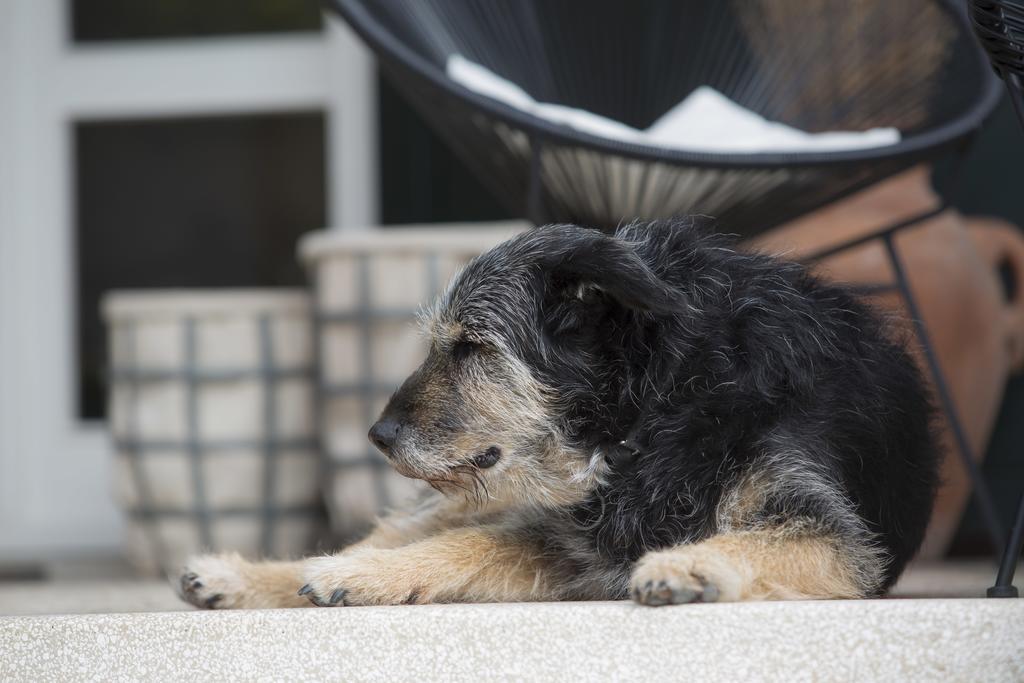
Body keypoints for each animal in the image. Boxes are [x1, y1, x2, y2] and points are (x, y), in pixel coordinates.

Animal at [182, 219, 937, 610]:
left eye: (472, 345)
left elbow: (754, 541)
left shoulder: (833, 537)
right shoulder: (573, 538)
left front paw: (687, 566)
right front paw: (357, 575)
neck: (668, 397)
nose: (378, 434)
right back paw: (243, 576)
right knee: (396, 533)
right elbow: (465, 546)